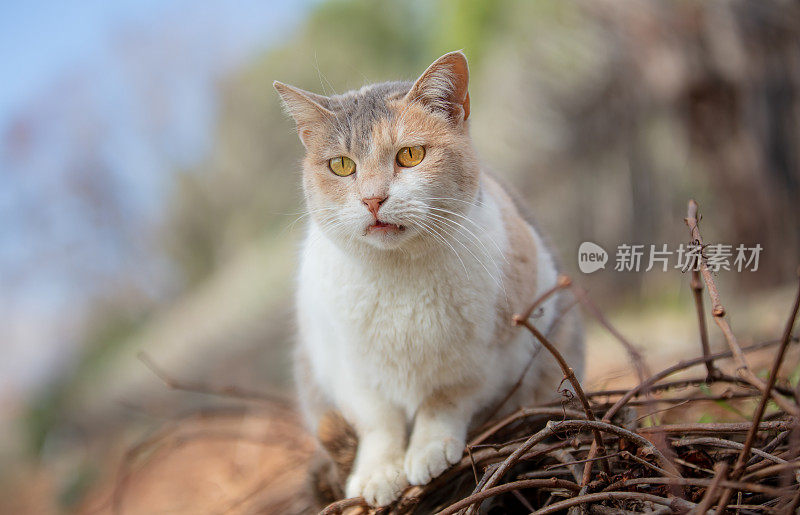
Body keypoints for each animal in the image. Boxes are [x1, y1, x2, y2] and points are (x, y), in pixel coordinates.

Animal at [274, 50, 580, 506]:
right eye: (342, 165)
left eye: (411, 155)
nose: (372, 199)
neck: (398, 275)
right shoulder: (348, 367)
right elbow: (378, 422)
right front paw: (378, 471)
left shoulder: (491, 355)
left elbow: (443, 400)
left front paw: (429, 448)